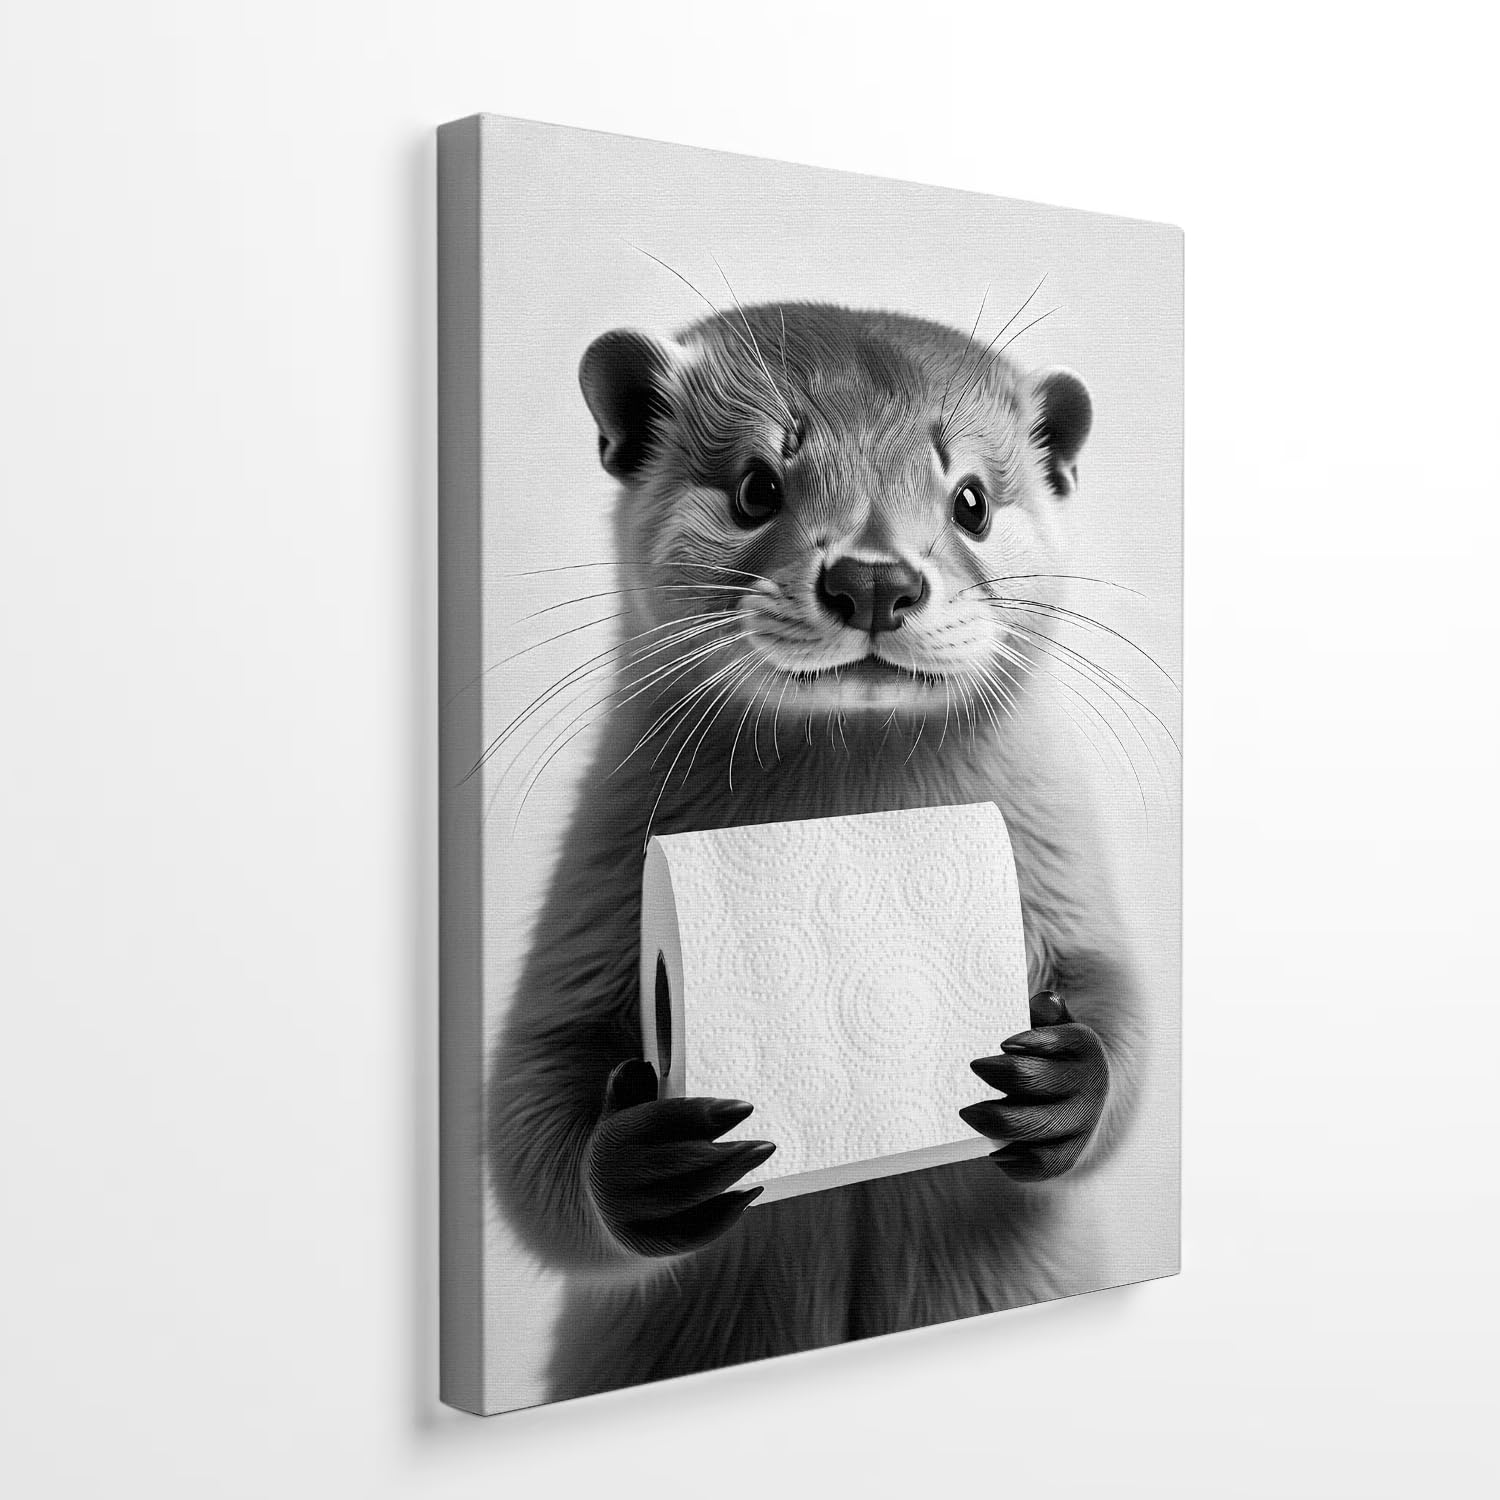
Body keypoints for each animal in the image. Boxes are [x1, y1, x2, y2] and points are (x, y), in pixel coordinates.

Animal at [489, 300, 1149, 1403]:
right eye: (758, 484)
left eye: (972, 498)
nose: (873, 577)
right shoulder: (596, 887)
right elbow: (523, 1117)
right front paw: (650, 1161)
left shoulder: (1062, 864)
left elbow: (1135, 1030)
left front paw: (1063, 1083)